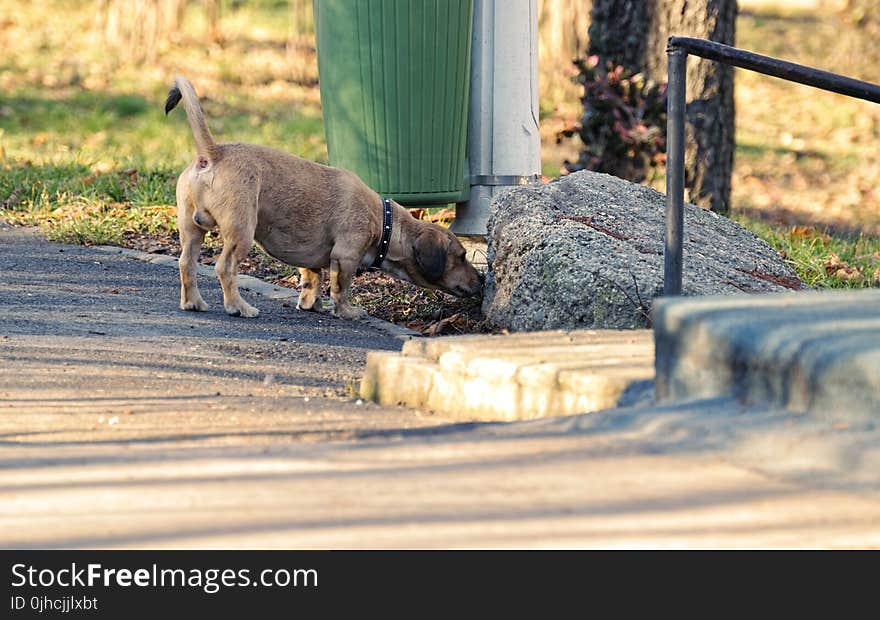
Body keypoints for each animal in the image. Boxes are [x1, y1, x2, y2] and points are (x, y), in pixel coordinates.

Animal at [165, 76, 482, 320]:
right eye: (461, 256)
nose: (481, 279)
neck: (386, 222)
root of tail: (213, 154)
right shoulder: (346, 257)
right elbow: (341, 289)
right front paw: (348, 312)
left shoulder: (314, 261)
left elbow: (311, 279)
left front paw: (310, 304)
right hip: (240, 233)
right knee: (225, 268)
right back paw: (239, 307)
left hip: (191, 231)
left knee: (186, 264)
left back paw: (193, 302)